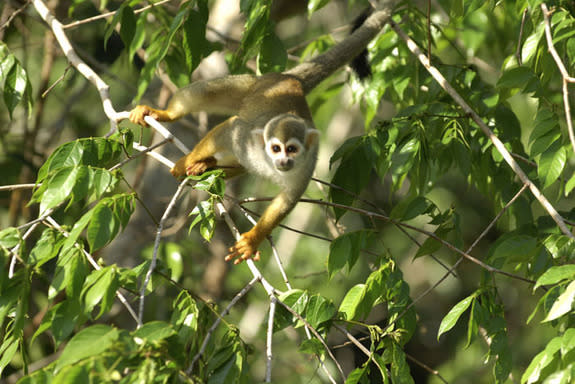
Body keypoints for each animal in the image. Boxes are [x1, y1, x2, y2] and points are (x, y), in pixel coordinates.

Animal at [128, 1, 396, 262]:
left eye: (292, 150)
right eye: (276, 148)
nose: (284, 161)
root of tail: (291, 80)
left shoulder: (307, 165)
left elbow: (287, 200)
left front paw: (253, 239)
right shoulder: (246, 140)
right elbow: (230, 129)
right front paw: (186, 161)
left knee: (239, 162)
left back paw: (209, 166)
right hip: (253, 84)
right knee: (205, 94)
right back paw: (166, 116)